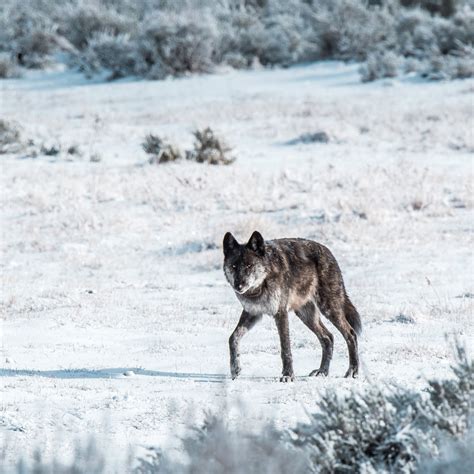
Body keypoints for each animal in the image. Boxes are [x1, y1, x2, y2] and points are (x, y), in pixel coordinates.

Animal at [224, 231, 362, 384]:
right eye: (234, 266)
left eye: (249, 265)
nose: (238, 286)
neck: (260, 286)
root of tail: (328, 252)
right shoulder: (252, 313)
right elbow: (233, 338)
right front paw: (235, 369)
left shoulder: (280, 313)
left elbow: (285, 348)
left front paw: (288, 375)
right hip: (306, 315)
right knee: (328, 337)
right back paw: (322, 371)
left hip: (329, 308)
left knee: (350, 334)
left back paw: (352, 371)